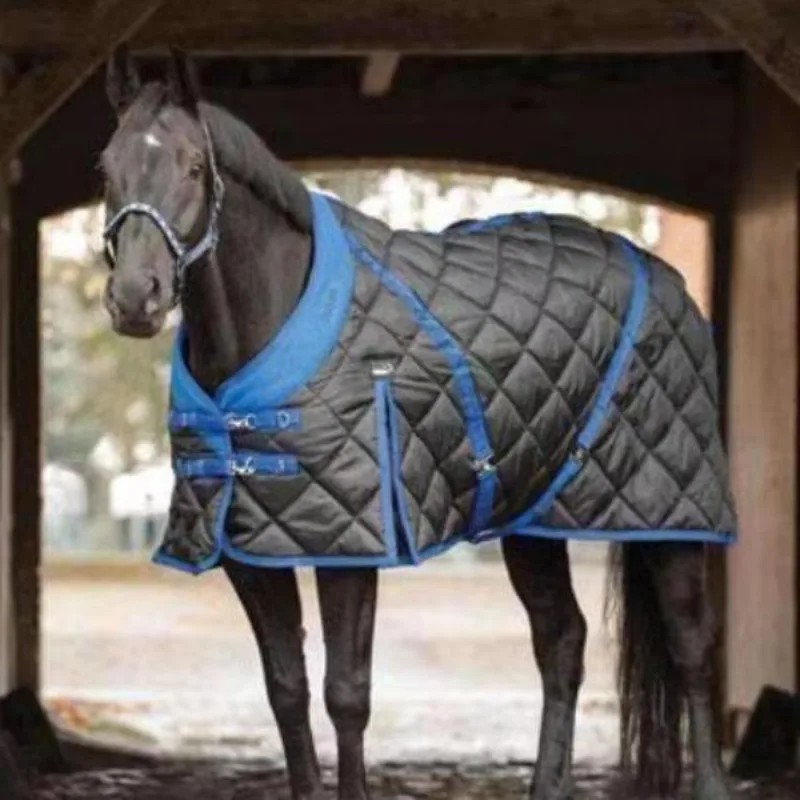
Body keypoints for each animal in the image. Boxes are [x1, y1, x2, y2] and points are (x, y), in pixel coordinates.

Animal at [99, 47, 734, 800]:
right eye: (105, 168)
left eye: (194, 166)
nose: (135, 299)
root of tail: (667, 278)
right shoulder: (248, 551)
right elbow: (286, 691)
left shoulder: (352, 545)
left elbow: (346, 694)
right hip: (533, 521)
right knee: (562, 642)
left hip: (668, 518)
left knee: (690, 646)